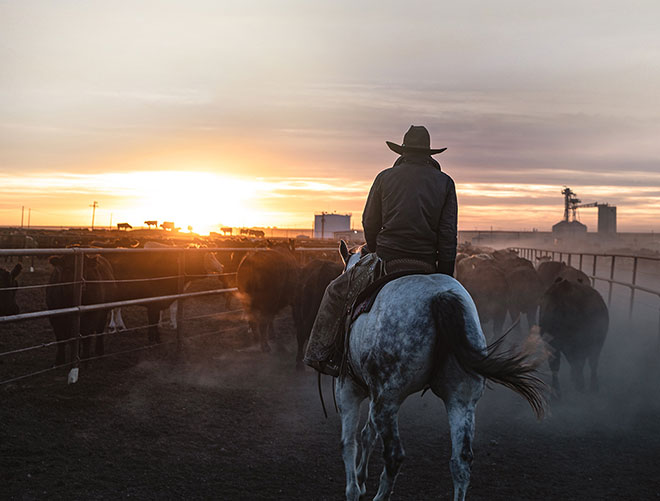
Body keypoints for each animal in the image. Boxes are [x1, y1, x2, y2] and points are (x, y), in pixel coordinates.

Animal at [338, 247, 544, 500]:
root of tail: (440, 298)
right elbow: (367, 435)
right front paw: (360, 478)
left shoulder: (349, 387)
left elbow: (349, 442)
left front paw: (354, 488)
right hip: (460, 399)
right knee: (461, 461)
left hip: (387, 401)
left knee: (394, 455)